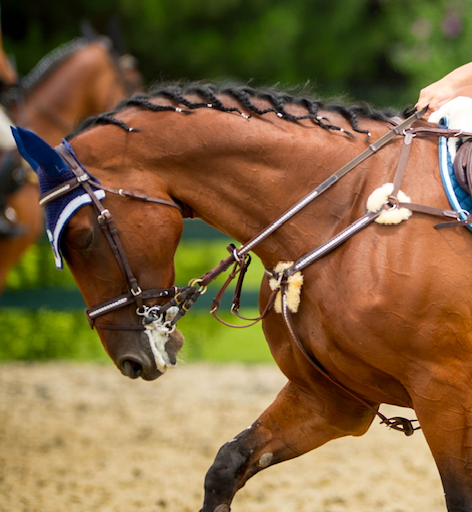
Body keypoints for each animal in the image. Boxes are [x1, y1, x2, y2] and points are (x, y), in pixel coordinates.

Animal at [12, 85, 472, 512]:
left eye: (83, 237)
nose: (130, 359)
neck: (350, 207)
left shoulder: (443, 394)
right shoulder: (328, 399)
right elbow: (227, 465)